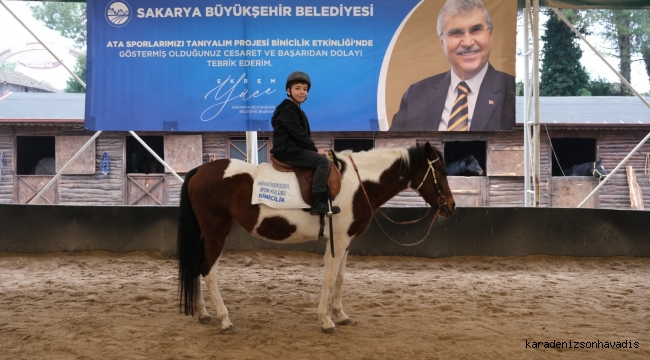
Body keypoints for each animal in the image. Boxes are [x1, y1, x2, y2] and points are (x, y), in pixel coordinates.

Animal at [175, 142, 454, 334]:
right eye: (440, 172)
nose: (450, 206)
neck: (359, 183)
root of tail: (199, 170)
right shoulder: (337, 241)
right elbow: (329, 279)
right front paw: (326, 320)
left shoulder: (345, 242)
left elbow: (340, 278)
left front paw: (340, 314)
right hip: (216, 232)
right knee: (208, 271)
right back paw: (224, 319)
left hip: (204, 235)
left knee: (196, 268)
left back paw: (203, 313)